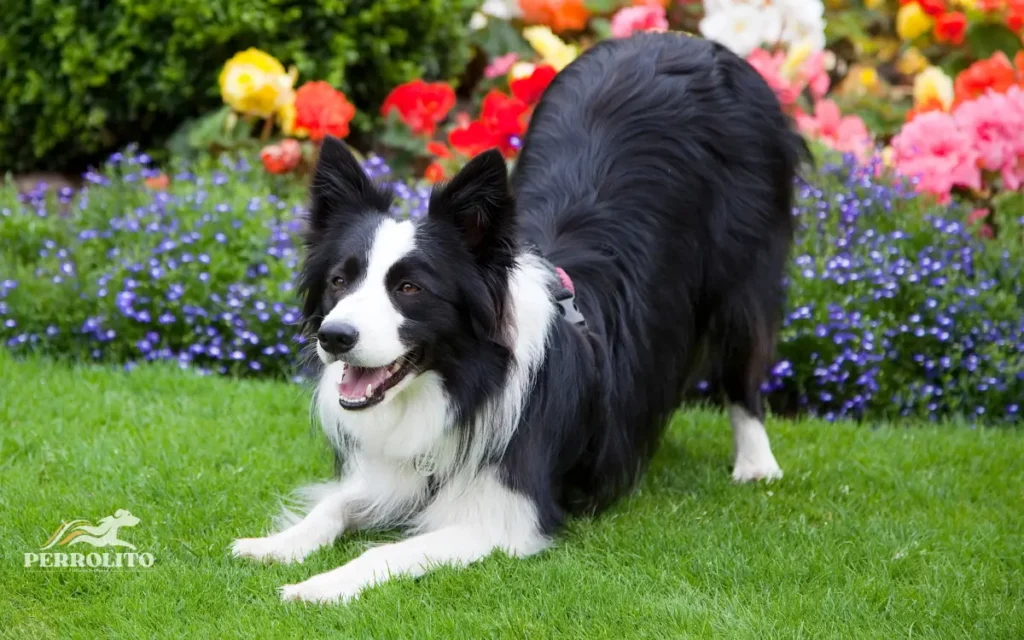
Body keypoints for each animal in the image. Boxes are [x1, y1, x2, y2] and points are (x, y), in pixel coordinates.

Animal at [234, 32, 806, 602]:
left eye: (409, 288)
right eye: (339, 281)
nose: (334, 337)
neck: (461, 383)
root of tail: (689, 42)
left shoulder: (505, 517)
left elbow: (386, 551)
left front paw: (318, 587)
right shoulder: (392, 475)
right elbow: (335, 505)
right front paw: (275, 545)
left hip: (744, 272)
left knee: (745, 362)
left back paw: (757, 463)